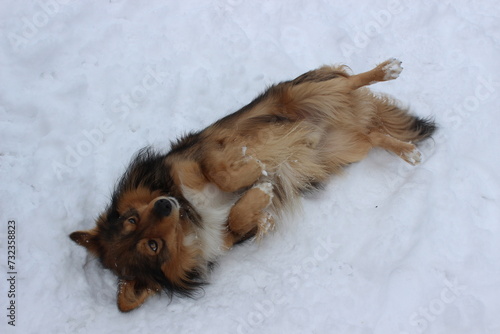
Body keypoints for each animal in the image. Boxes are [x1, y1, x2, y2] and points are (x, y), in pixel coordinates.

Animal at [70, 58, 438, 312]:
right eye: (152, 246)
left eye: (131, 218)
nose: (164, 204)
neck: (190, 215)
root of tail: (351, 119)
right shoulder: (230, 237)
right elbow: (237, 217)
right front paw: (262, 191)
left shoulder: (203, 154)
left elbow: (223, 173)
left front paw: (253, 167)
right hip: (344, 149)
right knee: (374, 135)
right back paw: (406, 151)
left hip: (303, 94)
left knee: (349, 82)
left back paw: (385, 70)